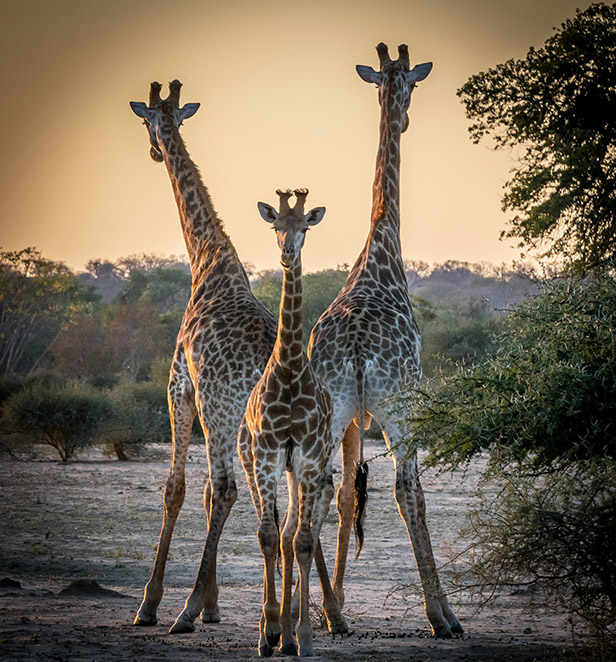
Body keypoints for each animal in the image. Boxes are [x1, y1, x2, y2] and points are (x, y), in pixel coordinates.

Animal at [129, 81, 278, 632]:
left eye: (146, 120)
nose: (154, 149)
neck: (207, 260)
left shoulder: (180, 385)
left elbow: (177, 488)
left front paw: (151, 603)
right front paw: (215, 604)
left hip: (220, 409)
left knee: (228, 489)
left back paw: (184, 610)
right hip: (254, 428)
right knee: (268, 496)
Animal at [308, 42, 462, 640]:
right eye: (413, 85)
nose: (406, 115)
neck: (380, 247)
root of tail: (353, 349)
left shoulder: (352, 414)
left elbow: (347, 492)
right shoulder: (407, 400)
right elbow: (407, 492)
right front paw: (443, 614)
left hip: (332, 408)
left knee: (318, 486)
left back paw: (328, 615)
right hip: (398, 405)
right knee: (404, 488)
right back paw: (442, 616)